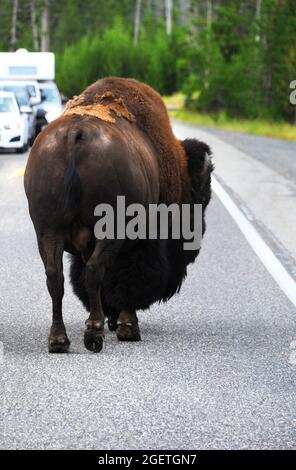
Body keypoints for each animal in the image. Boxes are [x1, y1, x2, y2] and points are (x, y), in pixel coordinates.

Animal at [23, 78, 213, 352]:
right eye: (201, 199)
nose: (197, 238)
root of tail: (75, 134)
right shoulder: (141, 242)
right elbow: (129, 280)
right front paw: (128, 328)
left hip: (47, 231)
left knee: (55, 278)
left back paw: (59, 340)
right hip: (109, 232)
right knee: (94, 272)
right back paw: (94, 334)